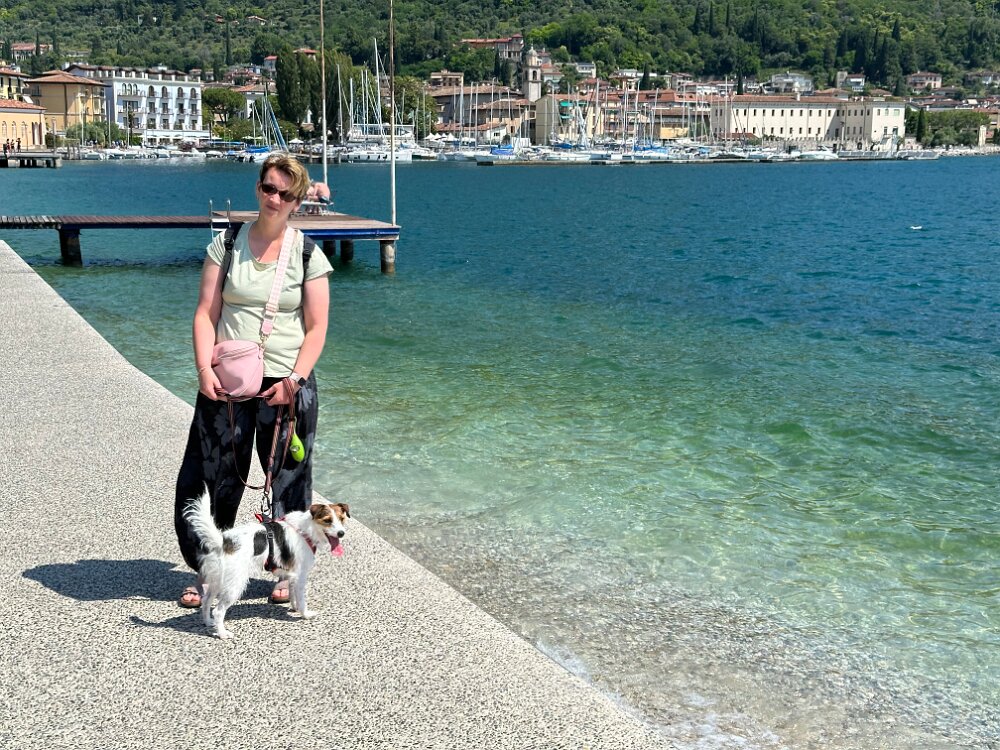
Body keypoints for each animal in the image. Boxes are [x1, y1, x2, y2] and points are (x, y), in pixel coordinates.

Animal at [184, 491, 350, 639]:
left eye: (342, 519)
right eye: (328, 520)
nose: (341, 533)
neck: (307, 530)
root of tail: (223, 542)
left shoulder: (293, 575)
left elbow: (293, 594)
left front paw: (294, 607)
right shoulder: (301, 576)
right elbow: (302, 599)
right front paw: (305, 614)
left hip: (217, 580)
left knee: (206, 601)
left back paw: (208, 622)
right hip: (234, 585)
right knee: (218, 611)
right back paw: (223, 634)